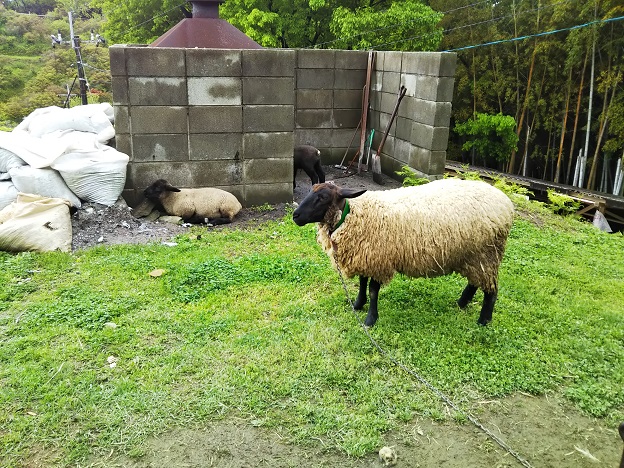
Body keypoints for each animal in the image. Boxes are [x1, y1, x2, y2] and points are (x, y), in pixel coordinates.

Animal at [292, 177, 516, 328]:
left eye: (322, 198)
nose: (295, 215)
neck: (352, 215)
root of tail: (506, 202)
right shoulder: (366, 256)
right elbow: (362, 283)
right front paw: (357, 304)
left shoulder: (380, 260)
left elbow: (373, 290)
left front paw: (370, 319)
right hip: (474, 255)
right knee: (475, 281)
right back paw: (462, 303)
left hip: (487, 253)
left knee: (491, 291)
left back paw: (484, 321)